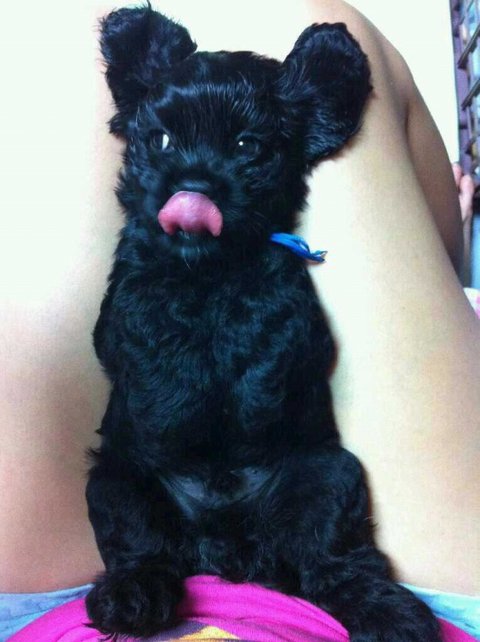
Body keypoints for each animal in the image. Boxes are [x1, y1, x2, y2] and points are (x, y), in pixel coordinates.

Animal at [86, 5, 441, 641]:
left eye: (247, 146)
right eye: (161, 140)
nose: (193, 189)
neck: (208, 269)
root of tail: (224, 550)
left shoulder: (291, 303)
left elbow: (265, 329)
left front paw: (249, 399)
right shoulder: (124, 299)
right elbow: (150, 326)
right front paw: (175, 410)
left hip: (328, 475)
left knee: (332, 562)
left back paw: (391, 613)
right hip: (116, 482)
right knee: (144, 548)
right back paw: (131, 596)